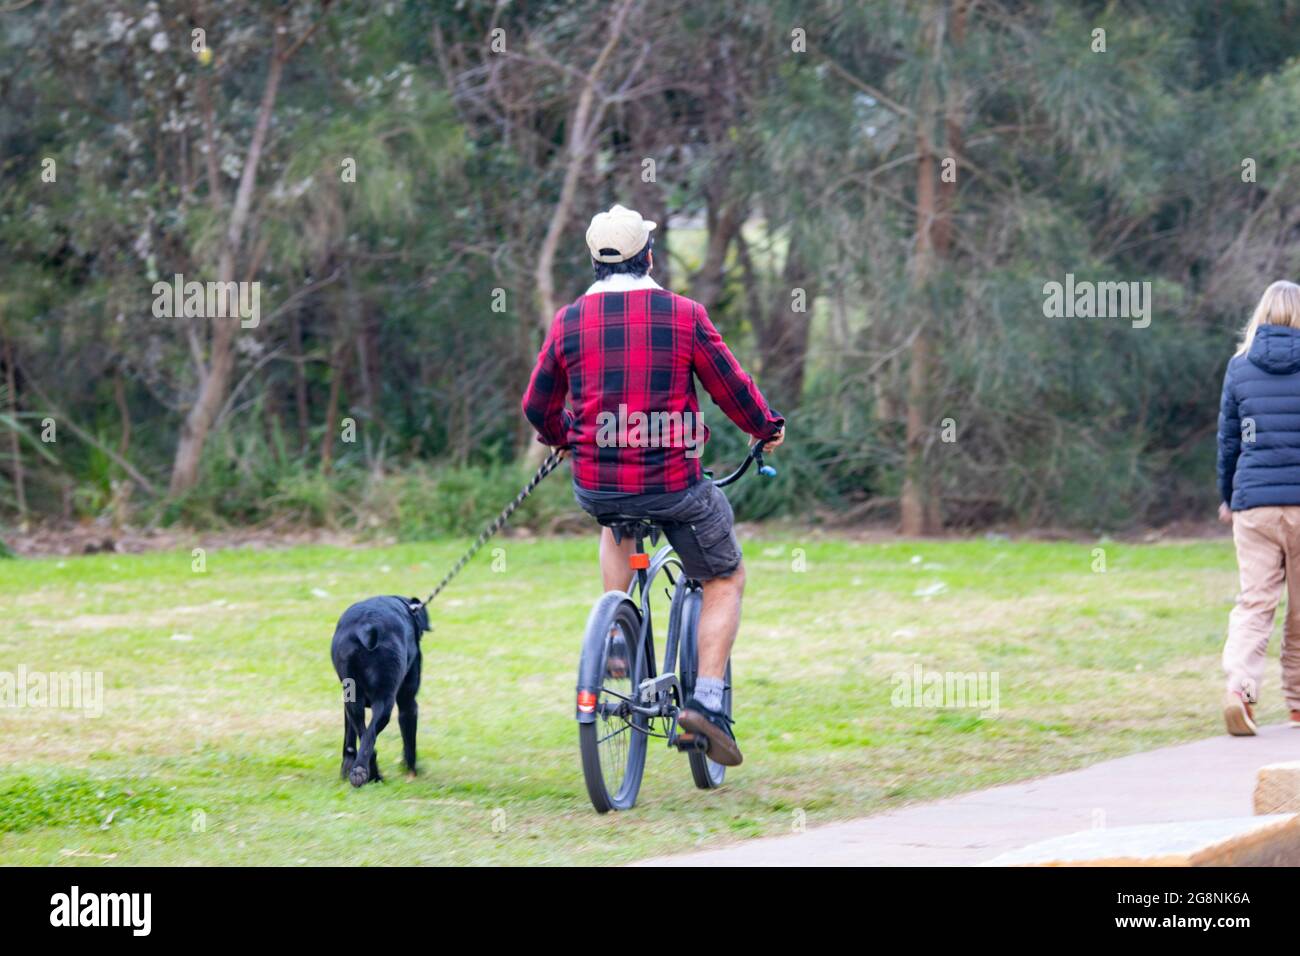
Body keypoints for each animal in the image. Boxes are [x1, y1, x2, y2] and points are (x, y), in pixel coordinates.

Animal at [327, 595, 428, 790]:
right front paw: (411, 772)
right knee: (370, 736)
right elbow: (409, 743)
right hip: (385, 701)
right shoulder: (408, 704)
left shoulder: (348, 707)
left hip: (353, 703)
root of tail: (366, 626)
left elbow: (349, 740)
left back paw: (364, 773)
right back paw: (368, 773)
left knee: (364, 736)